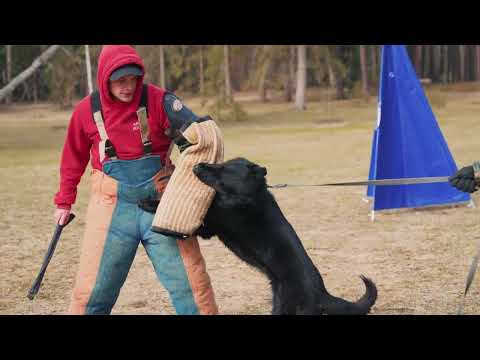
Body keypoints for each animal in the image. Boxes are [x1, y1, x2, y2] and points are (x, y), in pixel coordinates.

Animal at [141, 158, 376, 316]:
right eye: (221, 163)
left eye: (223, 169)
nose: (197, 165)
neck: (247, 195)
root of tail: (321, 294)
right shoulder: (210, 227)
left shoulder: (212, 222)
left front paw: (148, 202)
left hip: (285, 306)